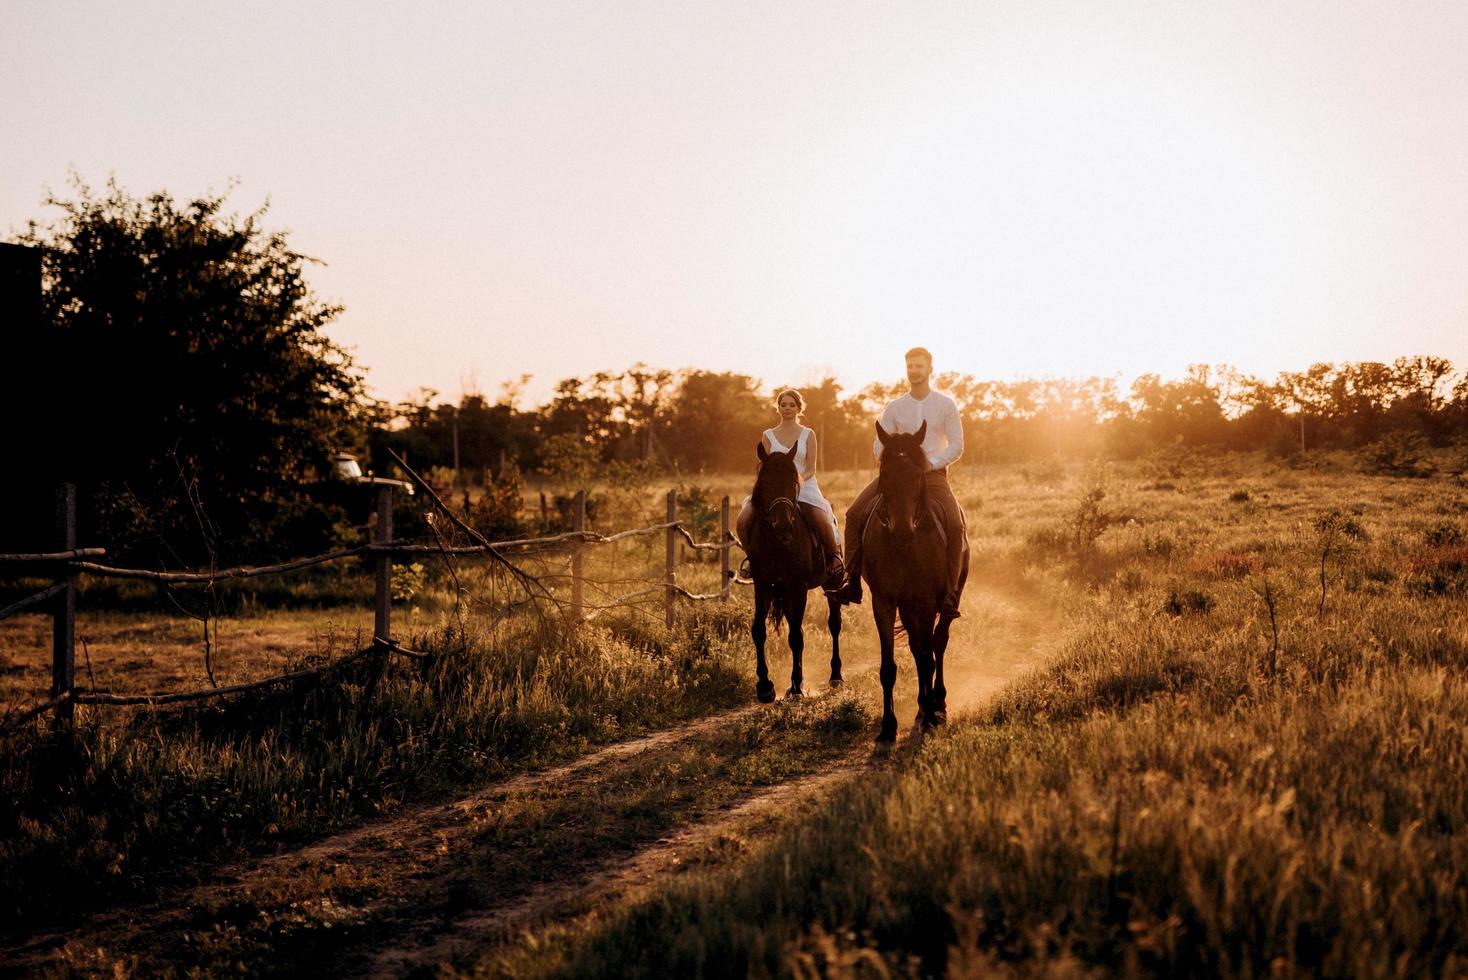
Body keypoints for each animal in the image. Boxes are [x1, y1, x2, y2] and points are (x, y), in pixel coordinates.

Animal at [751, 440, 845, 701]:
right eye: (764, 481)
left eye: (794, 482)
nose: (784, 527)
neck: (778, 543)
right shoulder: (762, 585)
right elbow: (759, 631)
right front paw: (765, 687)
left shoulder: (798, 587)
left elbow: (796, 636)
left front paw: (796, 687)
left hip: (832, 583)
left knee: (834, 624)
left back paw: (836, 676)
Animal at [857, 422, 963, 742]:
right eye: (885, 474)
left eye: (918, 476)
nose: (902, 531)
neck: (905, 549)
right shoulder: (884, 602)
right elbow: (890, 666)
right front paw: (888, 726)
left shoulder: (927, 602)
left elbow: (929, 657)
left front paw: (930, 718)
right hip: (907, 608)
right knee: (918, 649)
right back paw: (921, 710)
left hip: (948, 600)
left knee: (937, 644)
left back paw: (937, 706)